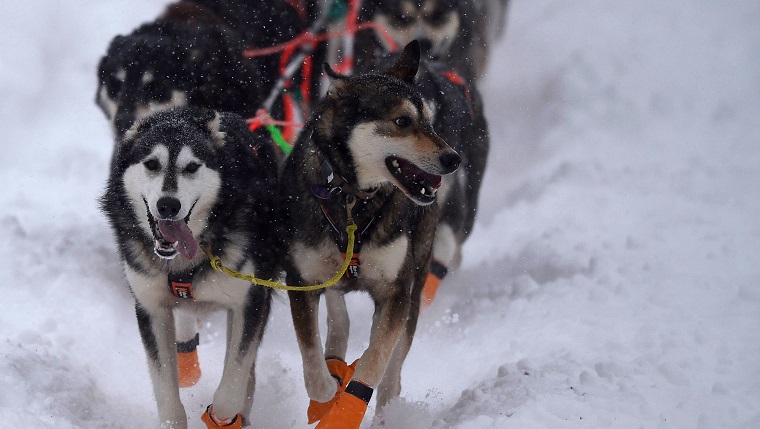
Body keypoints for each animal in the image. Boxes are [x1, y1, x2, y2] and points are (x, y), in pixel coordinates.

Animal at [101, 105, 278, 426]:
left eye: (192, 167)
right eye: (152, 164)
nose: (168, 205)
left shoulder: (251, 301)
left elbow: (231, 389)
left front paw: (224, 416)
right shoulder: (151, 309)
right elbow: (166, 391)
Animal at [278, 39, 460, 424]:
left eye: (428, 119)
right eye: (402, 121)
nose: (454, 159)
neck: (352, 197)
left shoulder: (396, 293)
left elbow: (376, 362)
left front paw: (348, 408)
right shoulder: (302, 282)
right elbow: (311, 357)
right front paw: (325, 395)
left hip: (414, 281)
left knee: (393, 370)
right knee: (338, 316)